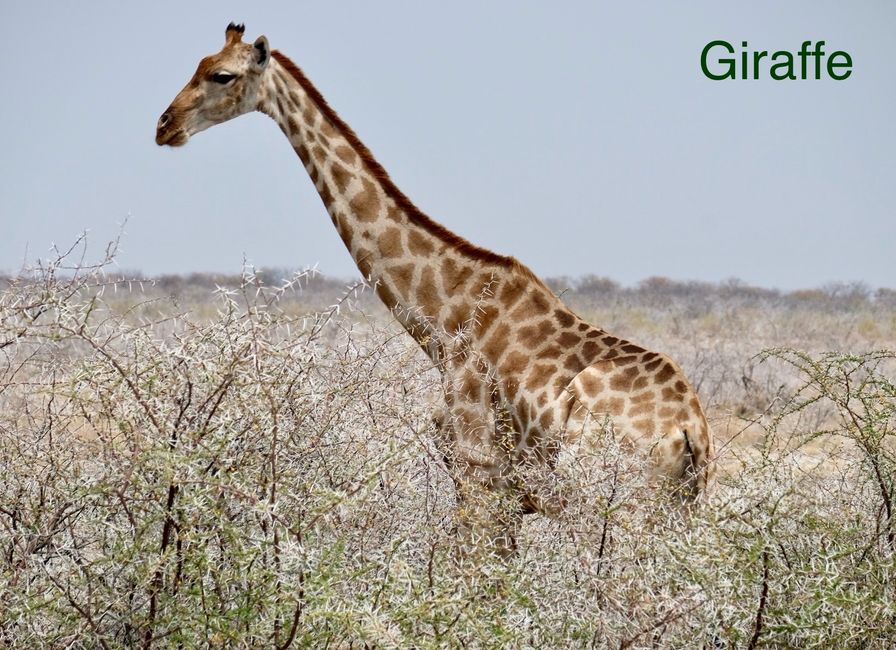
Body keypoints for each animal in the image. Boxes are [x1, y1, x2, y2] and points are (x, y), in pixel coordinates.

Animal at [154, 24, 712, 552]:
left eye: (221, 75)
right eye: (199, 64)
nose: (164, 127)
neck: (442, 320)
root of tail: (691, 431)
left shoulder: (478, 471)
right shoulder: (499, 490)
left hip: (614, 505)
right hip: (674, 512)